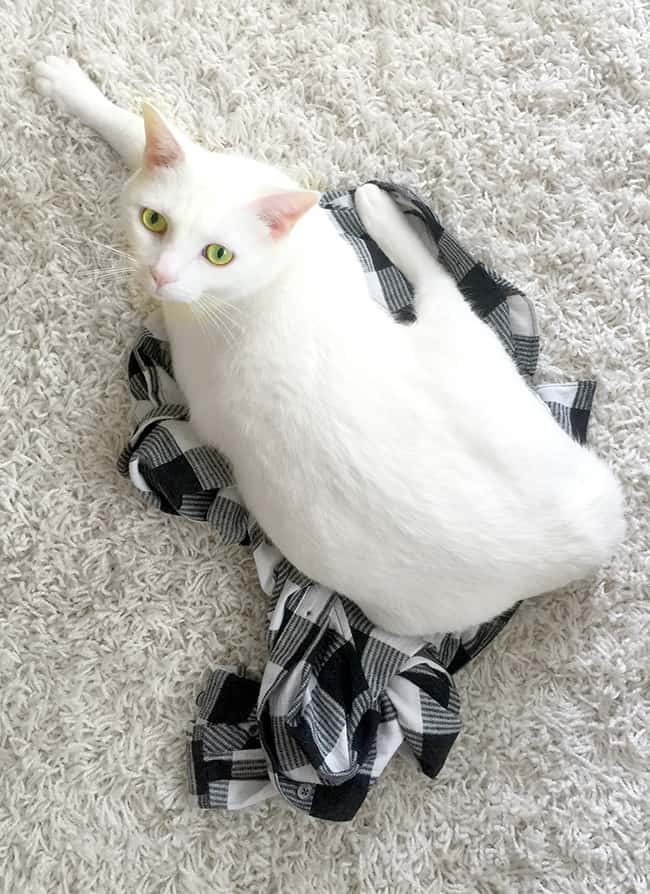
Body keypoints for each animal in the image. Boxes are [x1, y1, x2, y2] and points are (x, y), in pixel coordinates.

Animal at [31, 56, 624, 636]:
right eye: (153, 221)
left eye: (218, 253)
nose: (160, 275)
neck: (267, 276)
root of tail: (561, 543)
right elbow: (137, 135)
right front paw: (74, 85)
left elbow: (132, 132)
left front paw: (71, 85)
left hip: (459, 341)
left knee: (436, 278)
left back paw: (379, 207)